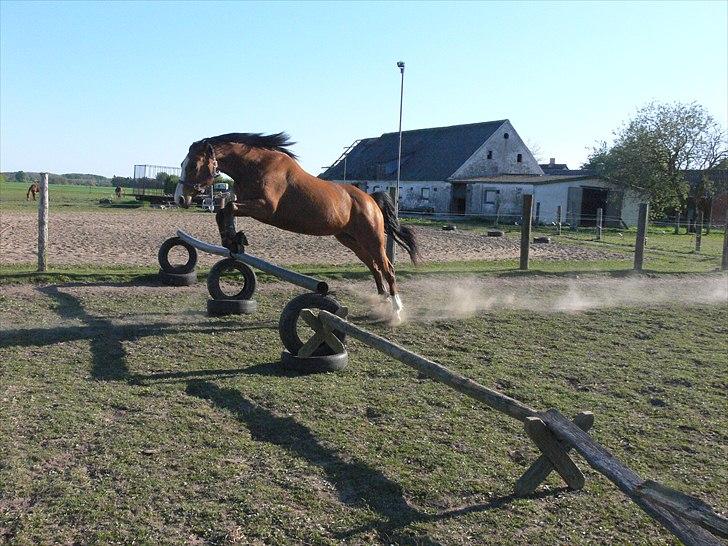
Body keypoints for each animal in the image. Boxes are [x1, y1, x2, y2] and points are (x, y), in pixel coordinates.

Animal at [173, 132, 418, 320]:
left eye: (193, 164)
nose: (179, 199)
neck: (255, 166)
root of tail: (370, 199)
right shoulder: (249, 204)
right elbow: (223, 211)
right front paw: (232, 241)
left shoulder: (265, 208)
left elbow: (228, 208)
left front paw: (235, 239)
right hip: (351, 240)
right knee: (375, 268)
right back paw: (382, 305)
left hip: (372, 238)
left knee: (387, 268)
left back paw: (396, 311)